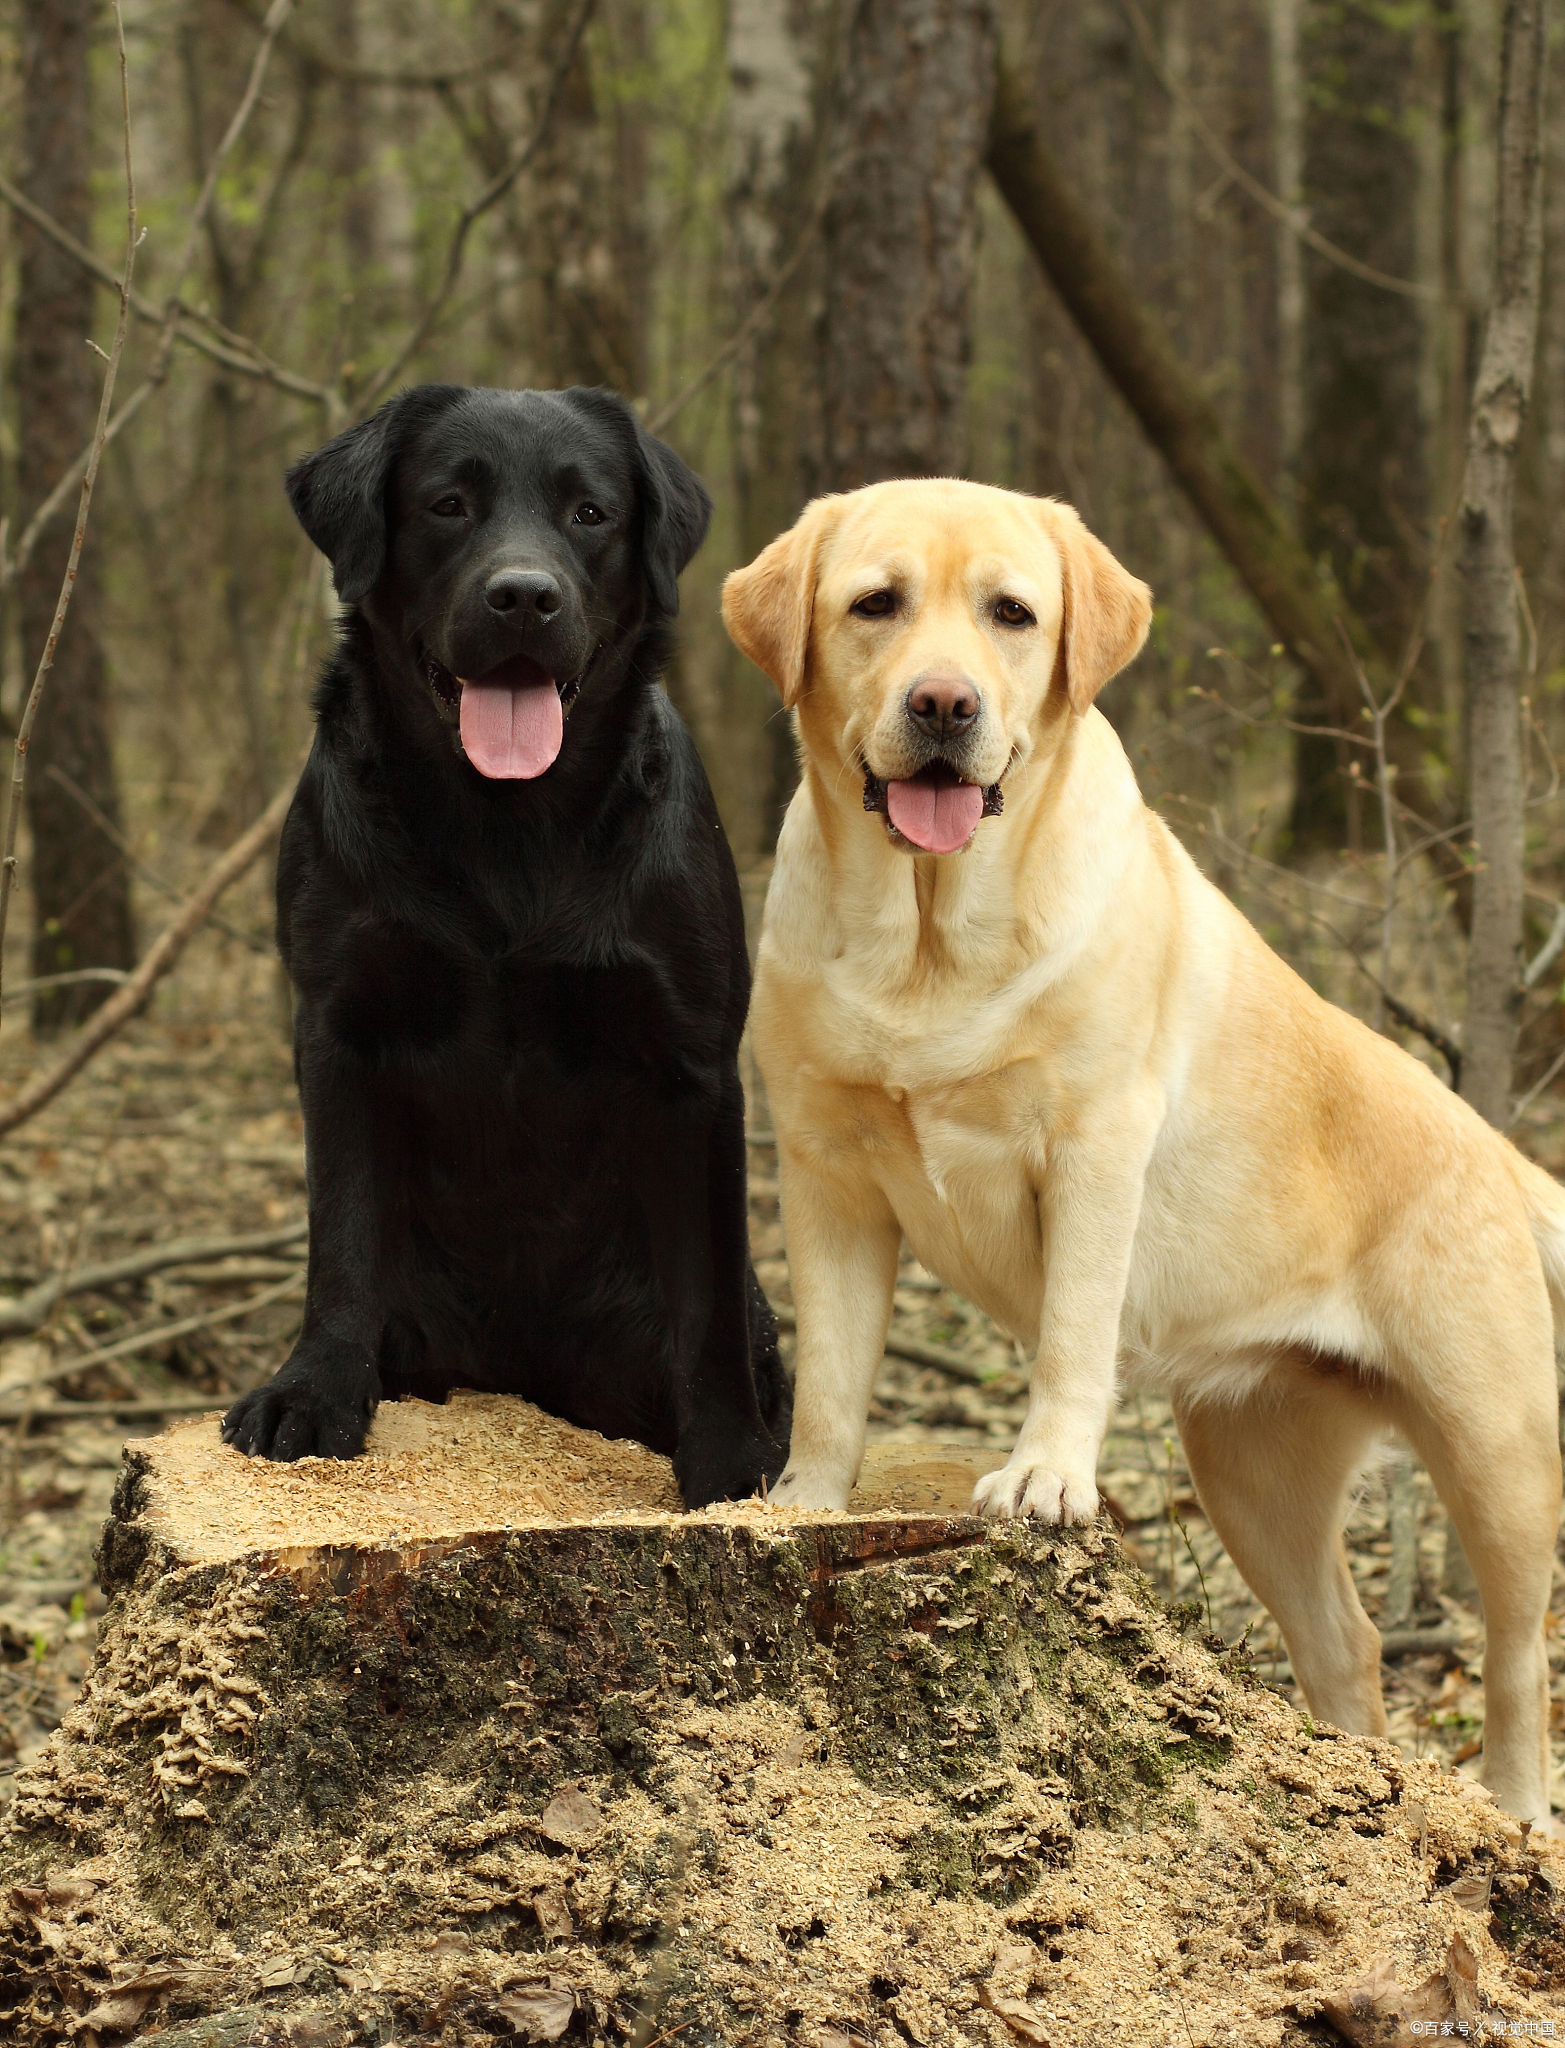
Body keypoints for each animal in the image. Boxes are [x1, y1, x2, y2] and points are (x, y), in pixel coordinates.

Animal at [217, 385, 794, 1507]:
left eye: (590, 512)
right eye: (447, 503)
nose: (522, 598)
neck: (507, 824)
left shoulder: (691, 1059)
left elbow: (703, 1292)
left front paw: (728, 1460)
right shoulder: (337, 1025)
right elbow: (341, 1234)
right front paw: (311, 1394)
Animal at [725, 475, 1565, 1826]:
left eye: (1011, 614)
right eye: (874, 604)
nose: (944, 705)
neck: (925, 940)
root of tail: (1492, 1146)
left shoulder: (1090, 1144)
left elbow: (1070, 1331)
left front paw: (1044, 1478)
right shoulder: (823, 1168)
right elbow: (833, 1372)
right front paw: (805, 1501)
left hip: (1493, 1442)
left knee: (1516, 1646)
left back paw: (1513, 1804)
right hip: (1252, 1467)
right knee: (1347, 1643)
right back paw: (1353, 1779)